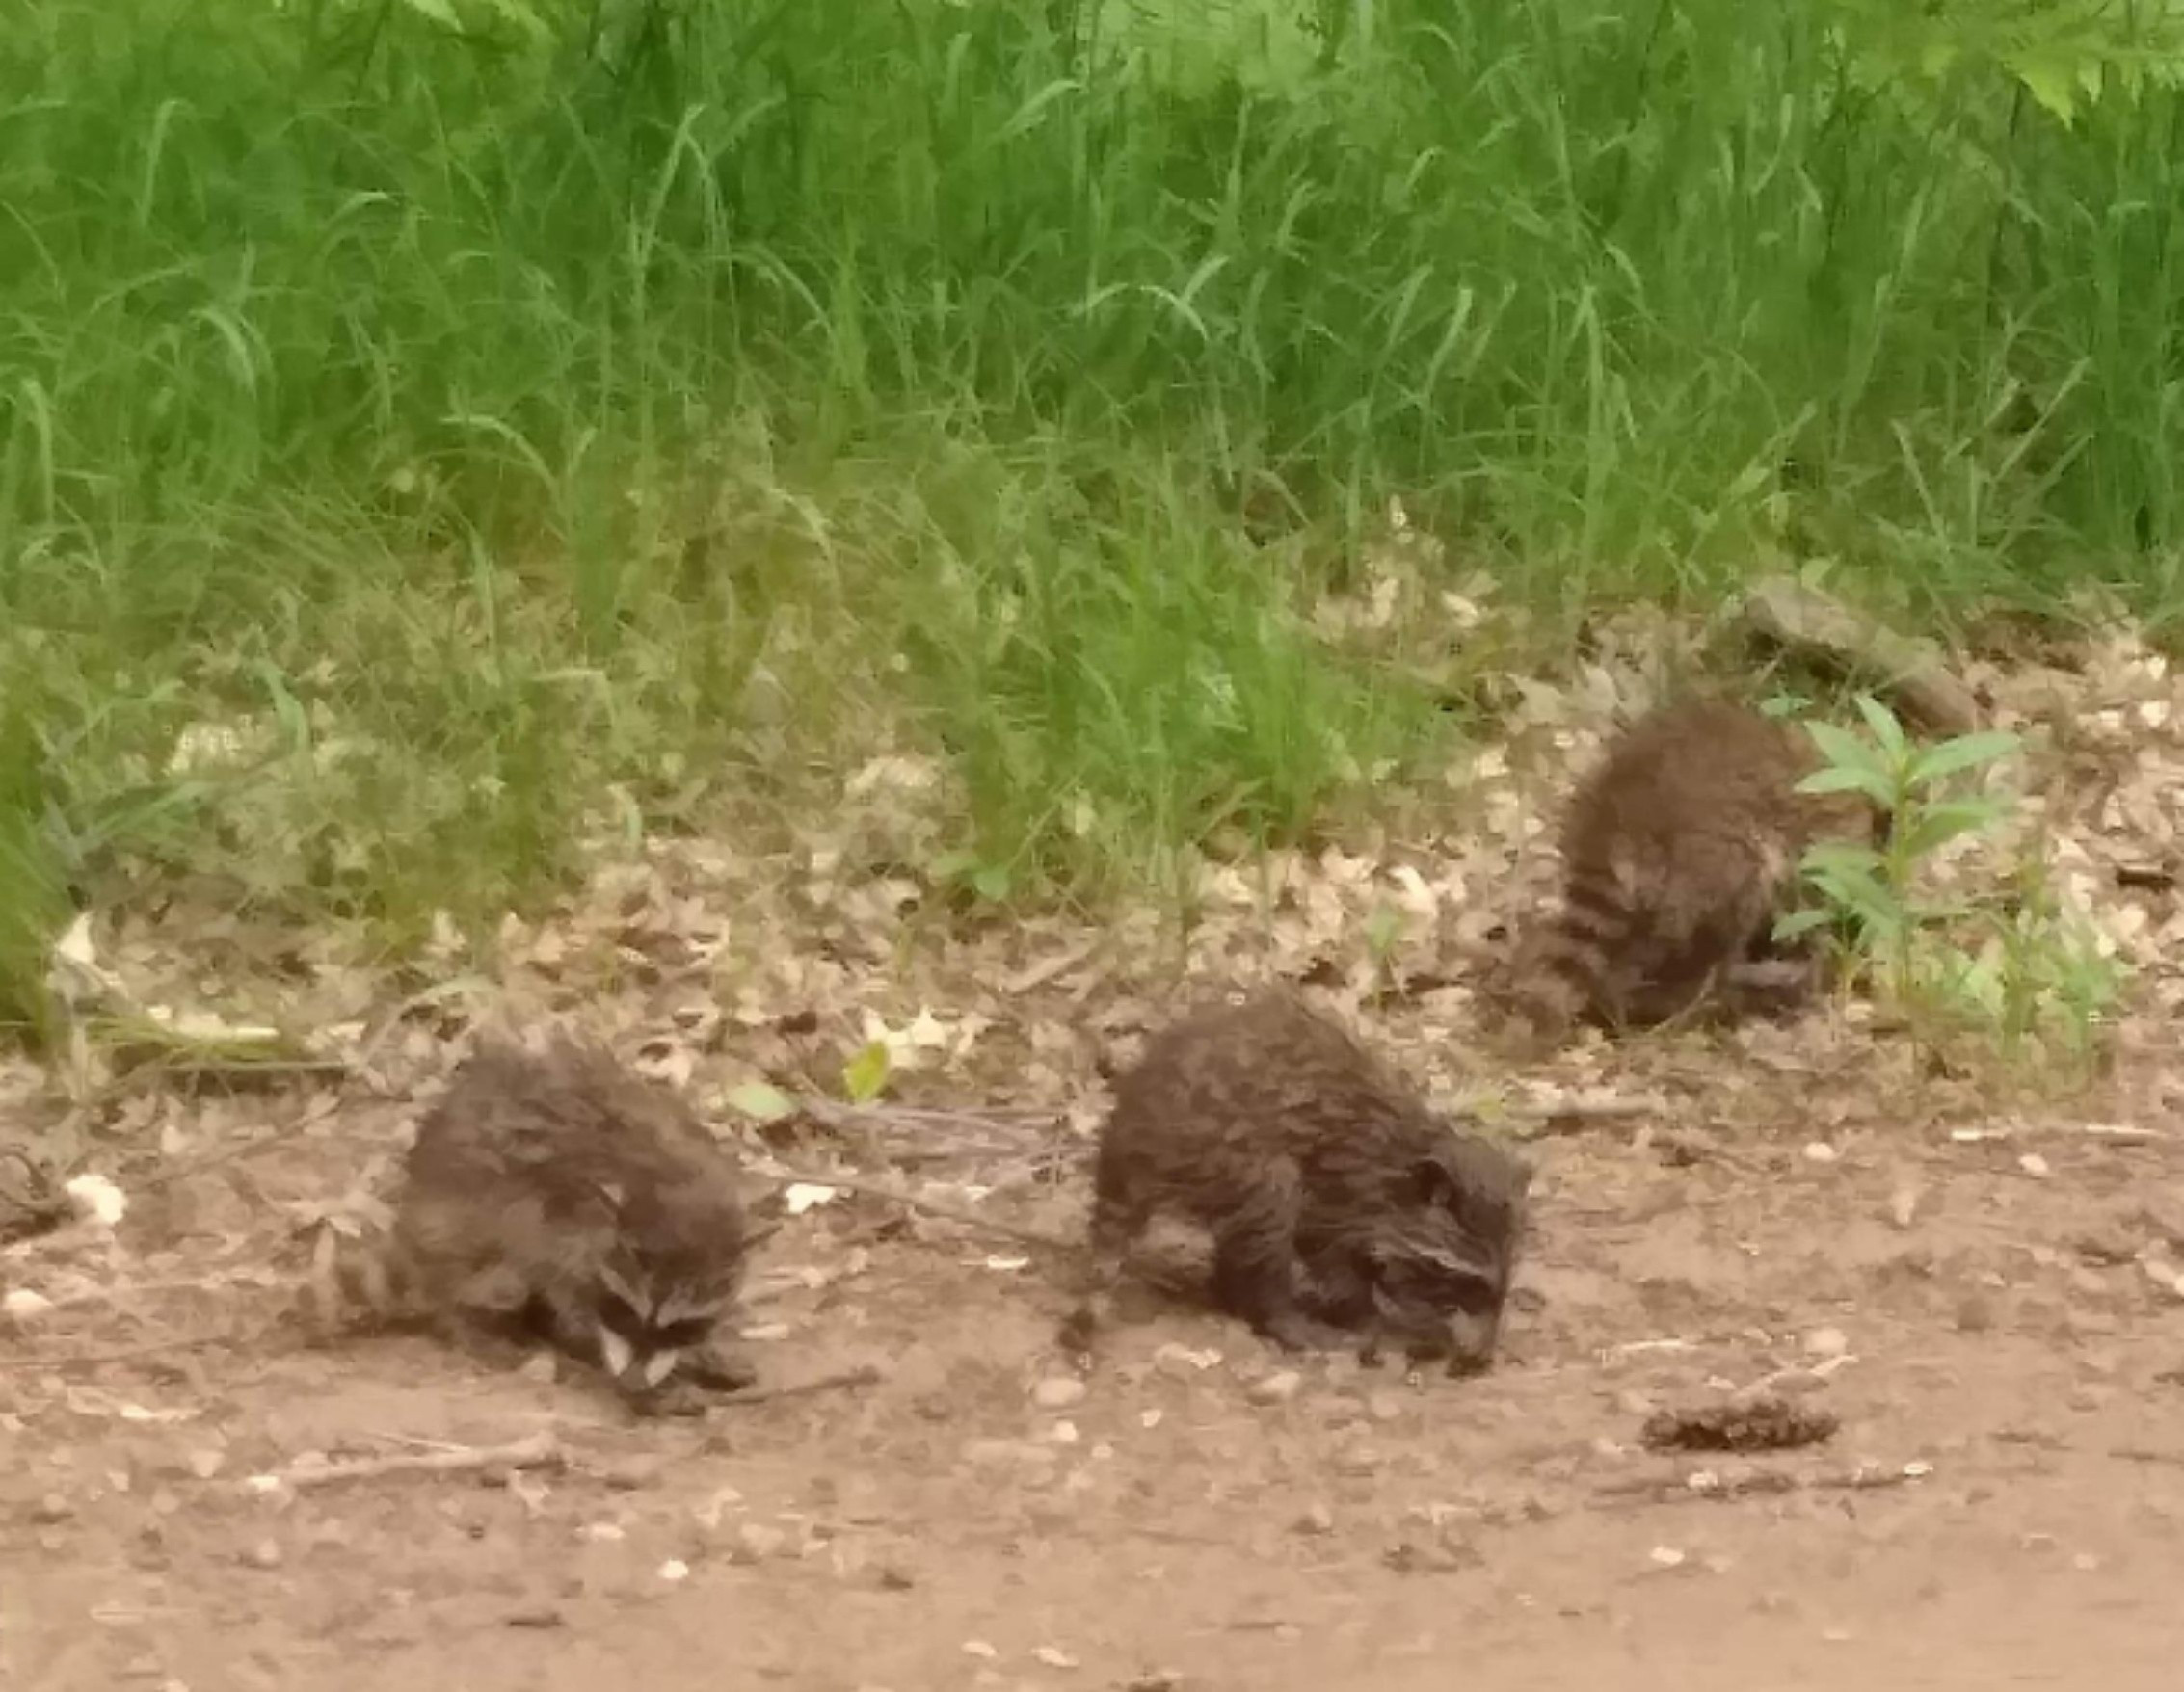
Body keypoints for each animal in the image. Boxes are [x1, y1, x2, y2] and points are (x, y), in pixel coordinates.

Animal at [357, 1032, 757, 1413]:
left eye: (683, 1326)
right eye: (625, 1310)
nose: (633, 1382)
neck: (672, 1185)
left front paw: (697, 1354)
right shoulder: (561, 1230)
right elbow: (574, 1314)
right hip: (467, 1219)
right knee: (493, 1276)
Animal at [1071, 990, 1531, 1374]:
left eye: (1500, 1283)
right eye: (1469, 1282)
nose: (1481, 1358)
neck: (1404, 1160)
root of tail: (1129, 1137)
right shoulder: (1346, 1192)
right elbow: (1332, 1256)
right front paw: (1371, 1311)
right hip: (1227, 1155)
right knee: (1273, 1206)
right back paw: (1280, 1314)